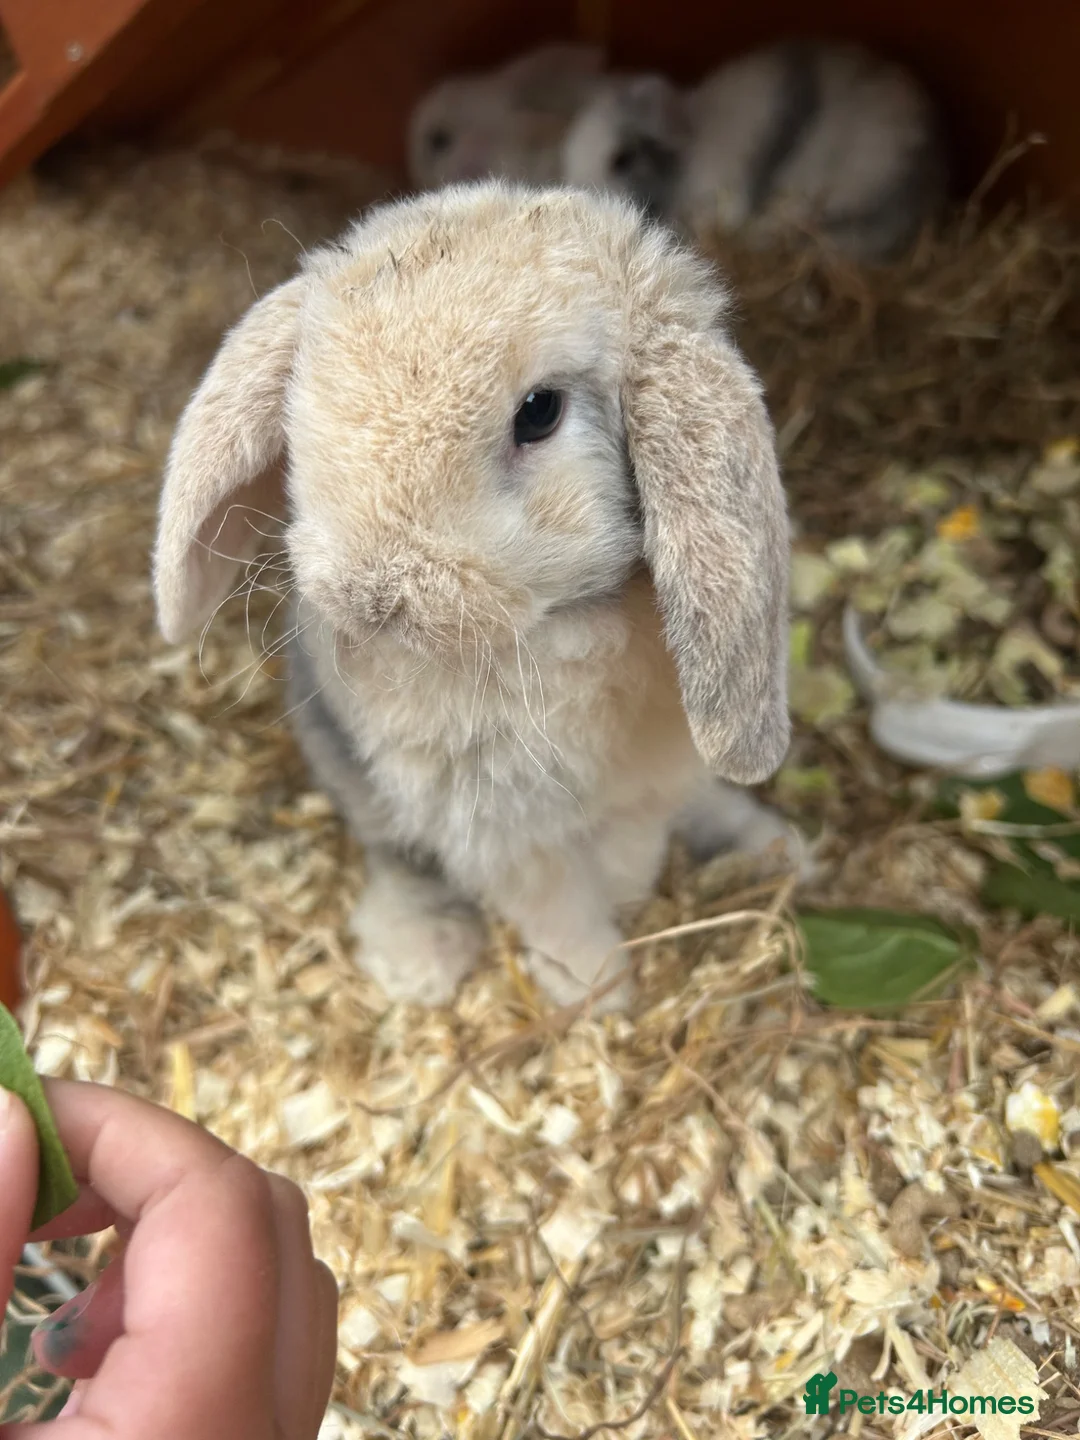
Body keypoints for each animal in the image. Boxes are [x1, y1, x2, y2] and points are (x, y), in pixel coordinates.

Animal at [153, 181, 798, 1014]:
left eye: (540, 411)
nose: (371, 595)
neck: (558, 626)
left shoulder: (645, 782)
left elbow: (636, 839)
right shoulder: (497, 829)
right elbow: (558, 907)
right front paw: (600, 992)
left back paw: (779, 849)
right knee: (398, 859)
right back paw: (419, 957)